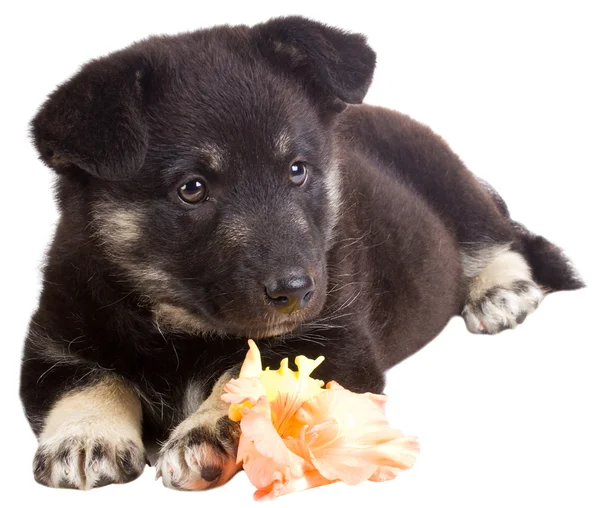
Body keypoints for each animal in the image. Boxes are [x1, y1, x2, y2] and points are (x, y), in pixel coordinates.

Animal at [21, 15, 584, 490]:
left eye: (297, 170)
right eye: (192, 189)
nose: (297, 291)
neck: (179, 325)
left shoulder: (336, 341)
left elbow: (254, 374)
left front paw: (207, 431)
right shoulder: (51, 342)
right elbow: (89, 378)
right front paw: (85, 436)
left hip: (448, 180)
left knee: (501, 235)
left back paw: (501, 291)